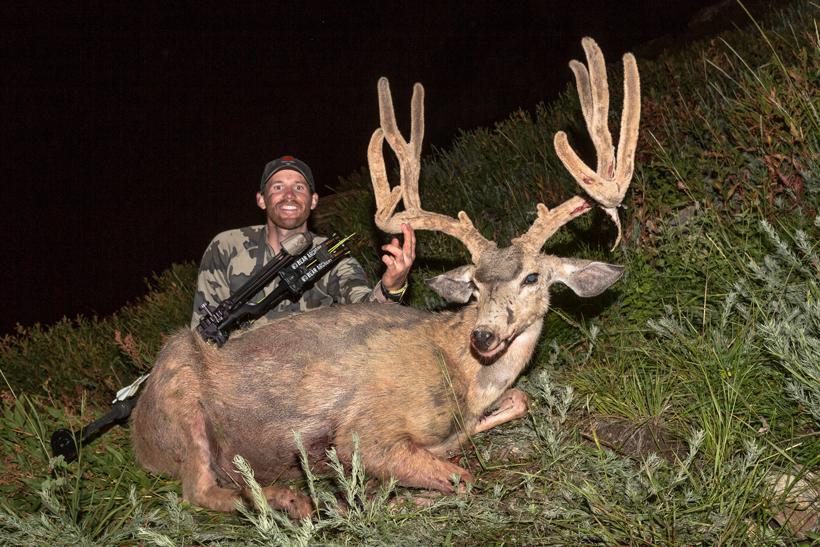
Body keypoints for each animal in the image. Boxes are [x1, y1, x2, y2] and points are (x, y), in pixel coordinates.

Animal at [130, 37, 640, 520]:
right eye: (475, 285)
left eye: (533, 277)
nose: (484, 335)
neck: (458, 368)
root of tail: (137, 429)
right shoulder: (365, 429)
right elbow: (460, 478)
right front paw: (378, 497)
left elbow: (517, 402)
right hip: (183, 399)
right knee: (197, 490)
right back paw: (294, 500)